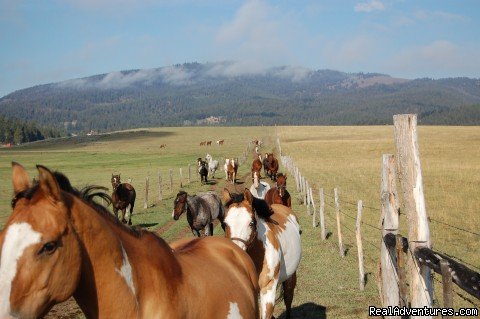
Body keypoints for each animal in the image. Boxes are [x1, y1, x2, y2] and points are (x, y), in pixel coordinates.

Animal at [222, 190, 300, 319]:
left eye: (251, 222)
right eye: (224, 224)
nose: (236, 254)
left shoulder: (268, 289)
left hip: (290, 276)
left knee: (288, 298)